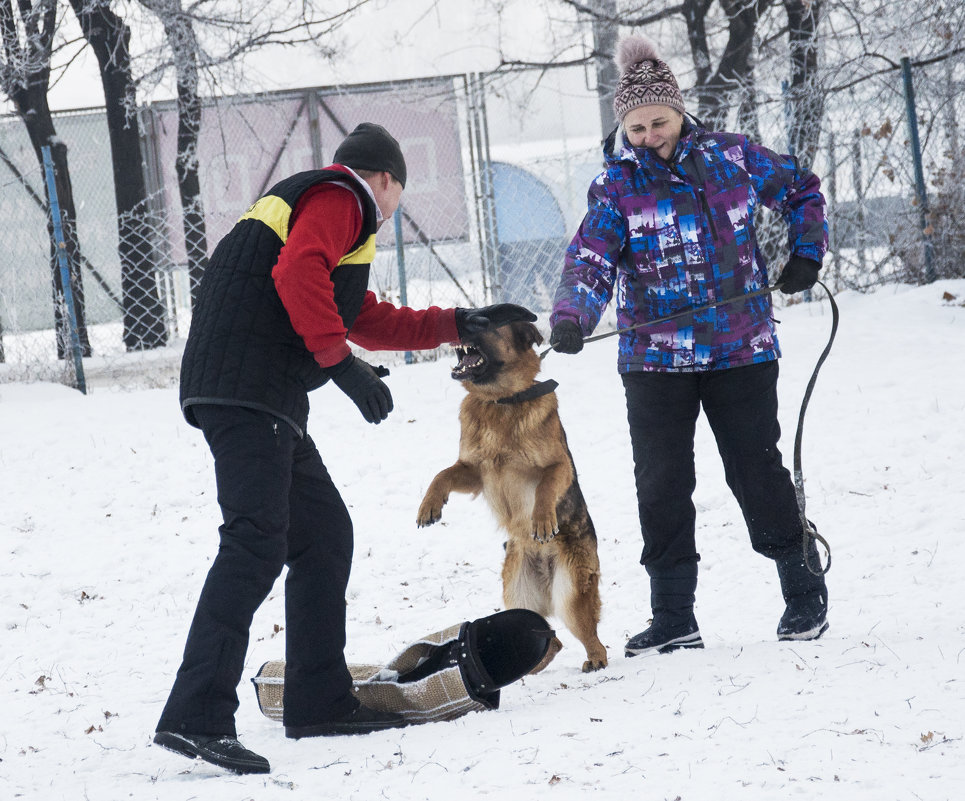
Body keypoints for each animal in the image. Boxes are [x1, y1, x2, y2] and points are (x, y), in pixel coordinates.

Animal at [418, 322, 608, 672]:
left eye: (485, 322)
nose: (457, 323)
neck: (500, 401)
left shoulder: (558, 466)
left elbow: (545, 488)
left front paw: (543, 520)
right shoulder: (473, 472)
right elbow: (442, 474)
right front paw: (429, 505)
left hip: (570, 597)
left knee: (592, 638)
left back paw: (596, 660)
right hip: (518, 601)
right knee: (550, 638)